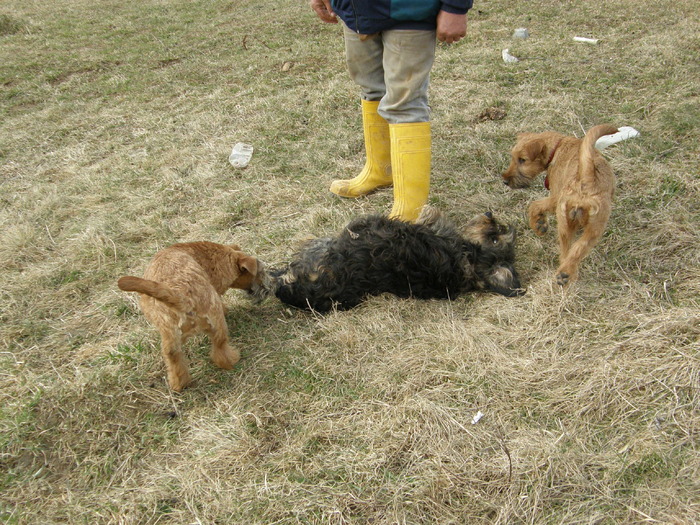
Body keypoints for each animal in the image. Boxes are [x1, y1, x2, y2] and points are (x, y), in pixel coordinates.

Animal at [116, 242, 270, 388]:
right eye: (260, 272)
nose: (267, 288)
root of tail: (180, 297)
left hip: (170, 336)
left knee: (173, 357)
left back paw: (179, 384)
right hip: (217, 321)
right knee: (220, 348)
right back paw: (232, 359)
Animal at [504, 124, 616, 286]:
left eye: (522, 160)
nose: (505, 181)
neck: (557, 148)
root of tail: (586, 180)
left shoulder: (555, 198)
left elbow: (534, 205)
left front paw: (538, 224)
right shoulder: (555, 199)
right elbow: (536, 205)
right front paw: (539, 224)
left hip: (575, 223)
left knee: (572, 250)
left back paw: (564, 274)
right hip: (582, 225)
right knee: (572, 250)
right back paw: (565, 274)